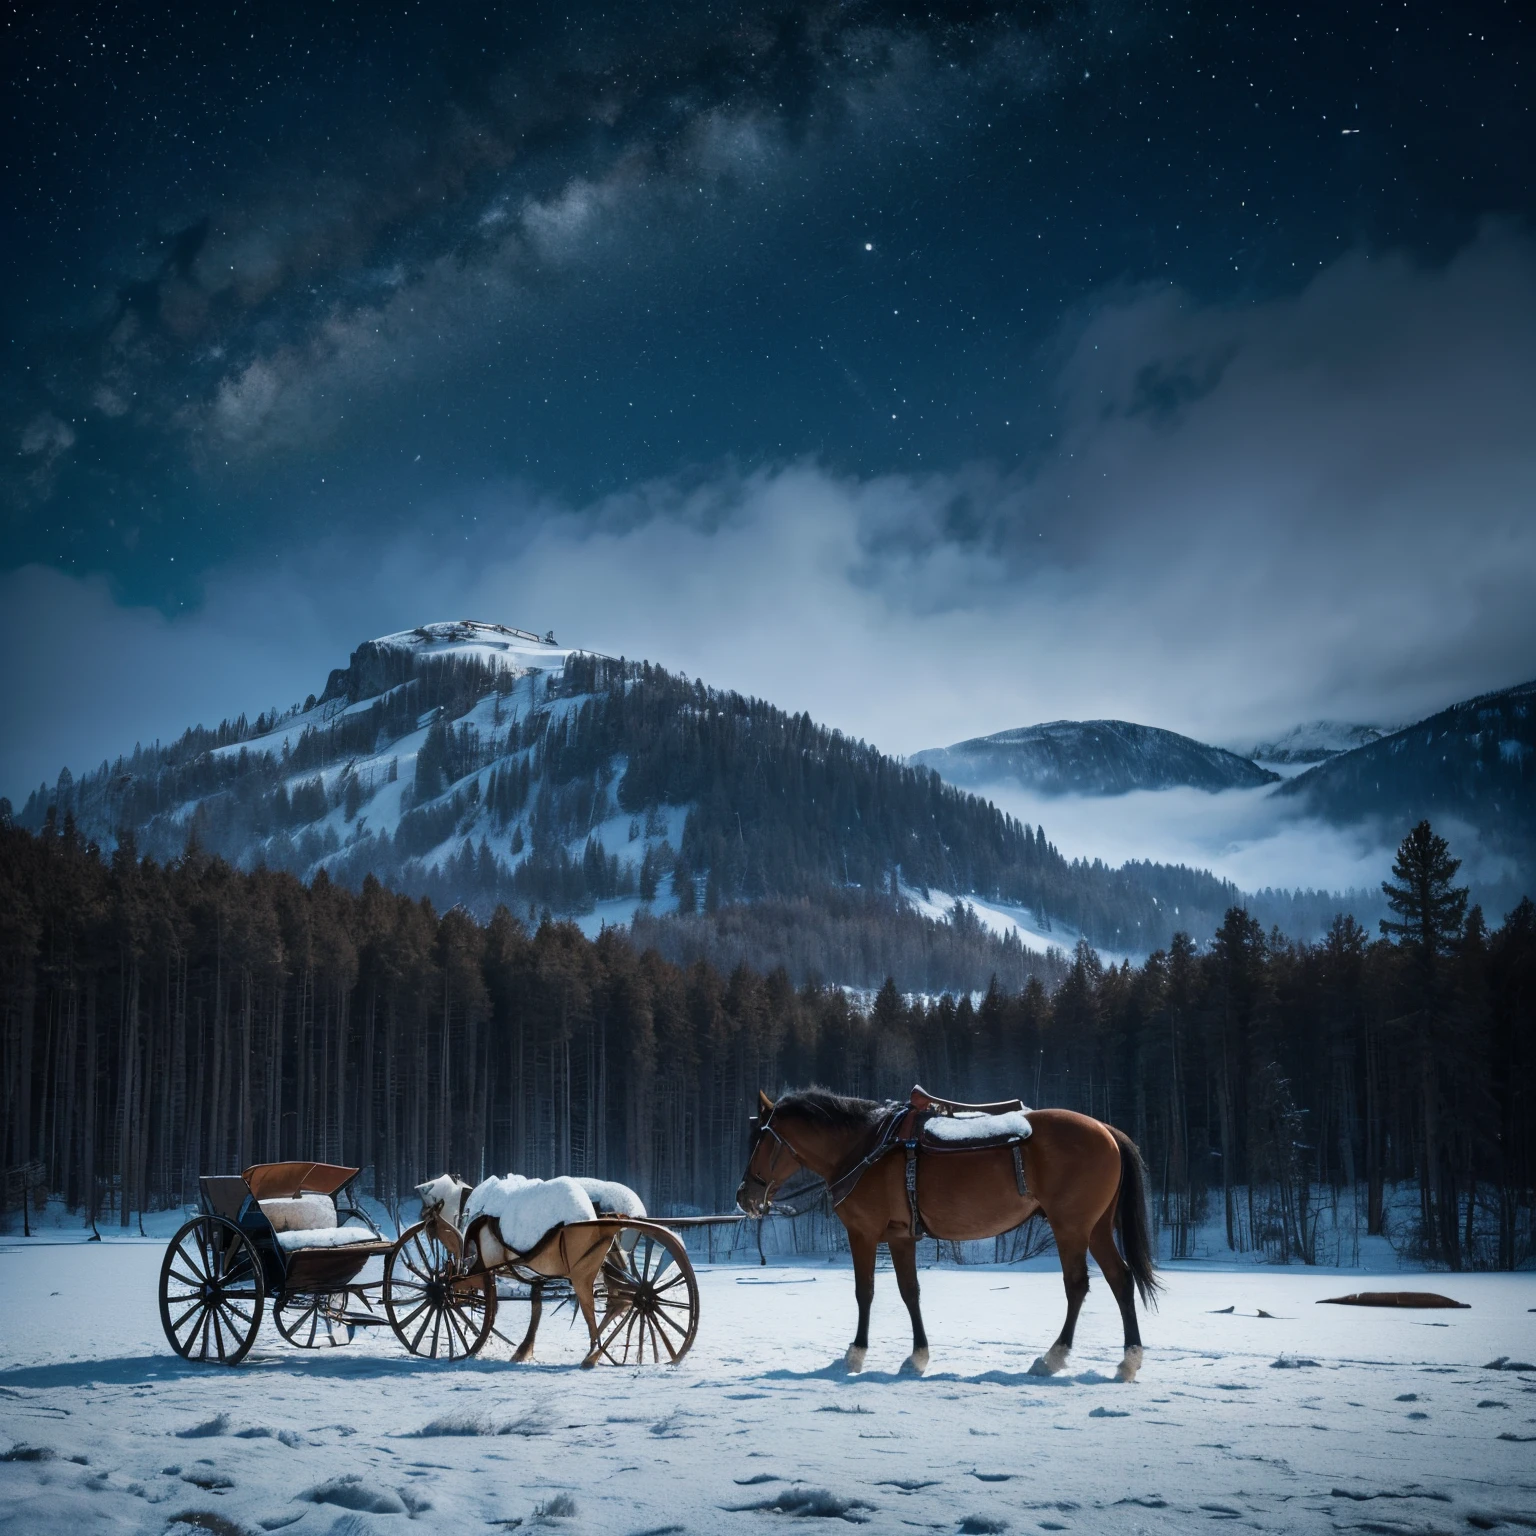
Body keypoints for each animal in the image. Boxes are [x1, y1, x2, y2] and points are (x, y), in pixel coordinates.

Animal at [736, 1088, 1159, 1381]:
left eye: (761, 1139)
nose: (745, 1197)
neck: (864, 1147)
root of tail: (1106, 1129)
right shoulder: (901, 1237)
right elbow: (910, 1292)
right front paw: (917, 1357)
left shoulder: (863, 1233)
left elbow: (864, 1292)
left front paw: (855, 1354)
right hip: (1097, 1228)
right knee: (1121, 1280)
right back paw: (1128, 1361)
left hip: (1070, 1226)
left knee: (1077, 1286)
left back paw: (1051, 1359)